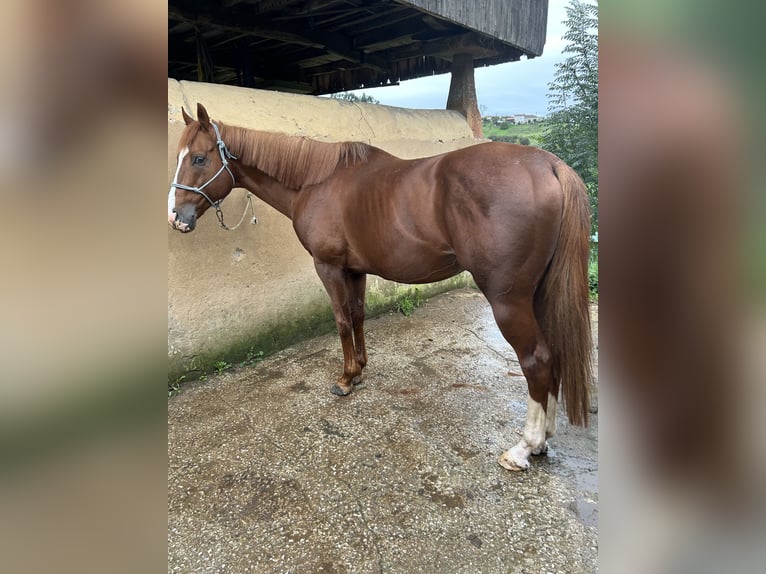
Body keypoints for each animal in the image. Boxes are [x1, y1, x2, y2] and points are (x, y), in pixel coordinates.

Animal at [171, 103, 592, 472]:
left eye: (199, 159)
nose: (177, 217)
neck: (316, 180)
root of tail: (549, 164)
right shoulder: (355, 270)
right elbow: (358, 316)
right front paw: (359, 370)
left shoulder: (328, 267)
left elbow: (341, 320)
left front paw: (344, 380)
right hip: (538, 295)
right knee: (553, 354)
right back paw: (544, 440)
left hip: (509, 300)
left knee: (536, 360)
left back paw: (524, 448)